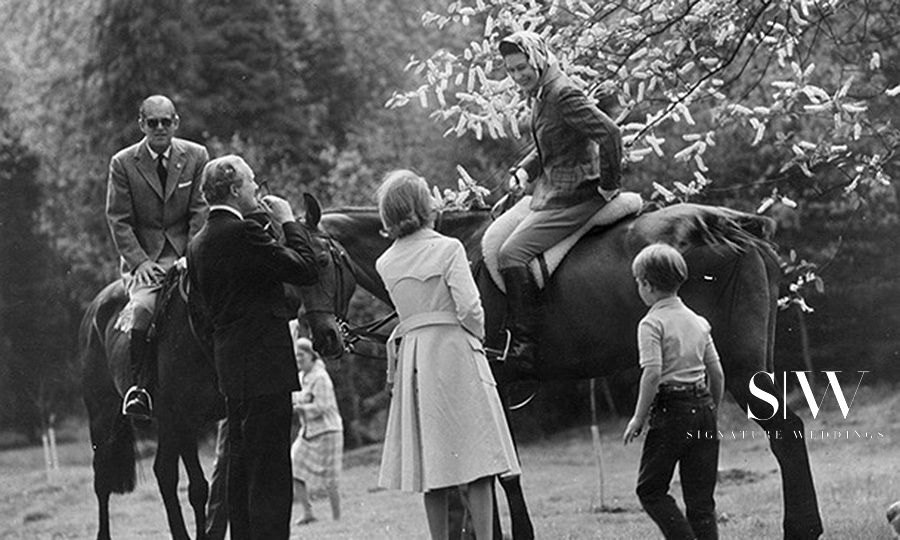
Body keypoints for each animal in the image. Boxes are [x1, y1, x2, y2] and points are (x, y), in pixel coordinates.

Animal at [79, 199, 350, 540]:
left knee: (163, 473)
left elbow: (227, 482)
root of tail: (96, 307)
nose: (329, 336)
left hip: (164, 421)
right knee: (103, 480)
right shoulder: (183, 417)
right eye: (321, 261)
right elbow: (199, 488)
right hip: (104, 415)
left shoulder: (221, 414)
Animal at [310, 200, 824, 540]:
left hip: (738, 363)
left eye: (314, 261)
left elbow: (502, 472)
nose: (323, 339)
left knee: (785, 431)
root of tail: (729, 227)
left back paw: (801, 528)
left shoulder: (493, 385)